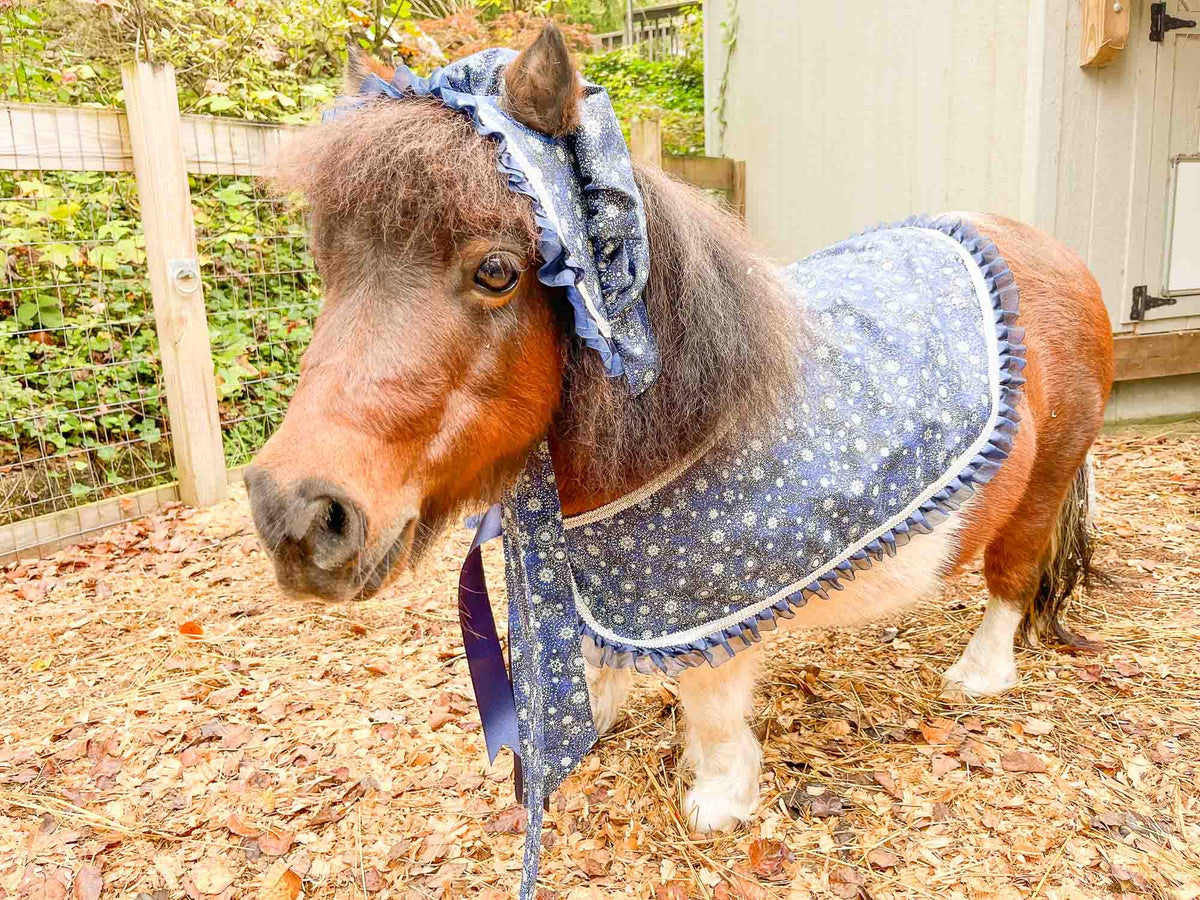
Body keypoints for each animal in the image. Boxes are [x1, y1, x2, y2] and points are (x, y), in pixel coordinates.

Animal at [245, 24, 1114, 837]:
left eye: (497, 271)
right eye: (328, 262)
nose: (295, 515)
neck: (691, 422)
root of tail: (1055, 254)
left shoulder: (707, 610)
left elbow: (711, 703)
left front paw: (721, 799)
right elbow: (595, 653)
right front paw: (590, 723)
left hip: (1045, 478)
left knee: (1014, 576)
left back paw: (979, 674)